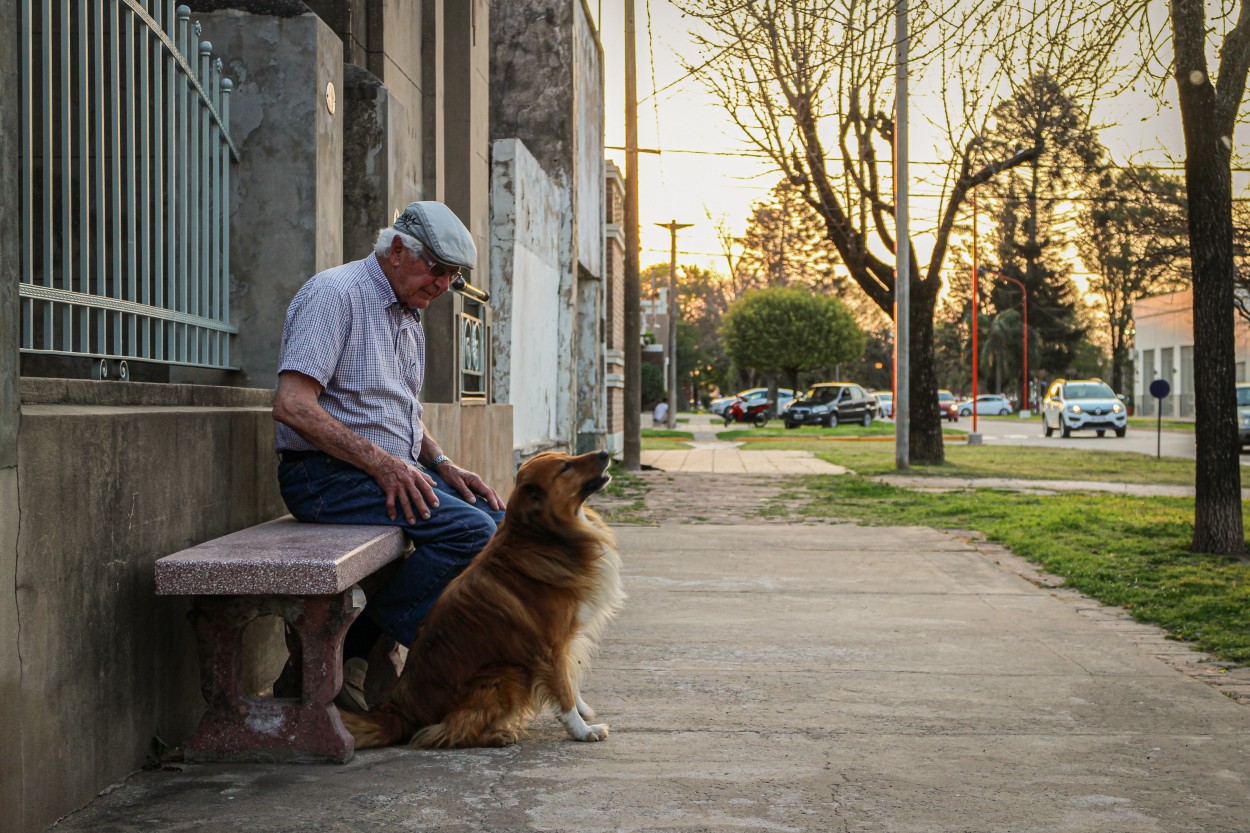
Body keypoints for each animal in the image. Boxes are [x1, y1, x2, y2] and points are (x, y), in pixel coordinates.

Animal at [337, 450, 625, 750]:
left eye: (567, 456)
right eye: (565, 467)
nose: (604, 453)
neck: (541, 537)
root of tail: (403, 711)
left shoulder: (563, 645)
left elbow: (569, 679)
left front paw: (582, 710)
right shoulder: (548, 648)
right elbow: (563, 690)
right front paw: (582, 730)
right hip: (508, 673)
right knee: (447, 731)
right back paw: (497, 735)